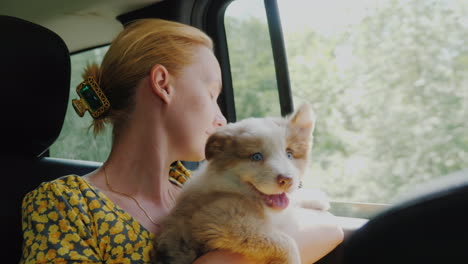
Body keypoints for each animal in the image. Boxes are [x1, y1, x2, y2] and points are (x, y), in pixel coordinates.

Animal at [154, 103, 326, 264]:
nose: (287, 180)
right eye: (256, 157)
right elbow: (285, 241)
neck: (230, 187)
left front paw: (316, 197)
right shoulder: (223, 220)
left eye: (289, 154)